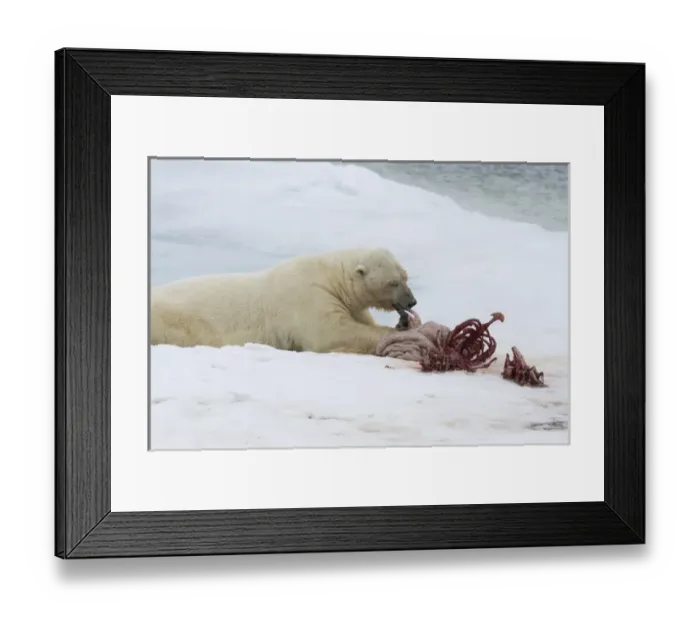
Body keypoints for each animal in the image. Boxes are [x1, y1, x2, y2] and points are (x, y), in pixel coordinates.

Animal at [149, 247, 419, 356]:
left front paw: (405, 324)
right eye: (393, 282)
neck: (331, 278)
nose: (412, 302)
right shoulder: (308, 295)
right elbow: (331, 332)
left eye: (405, 276)